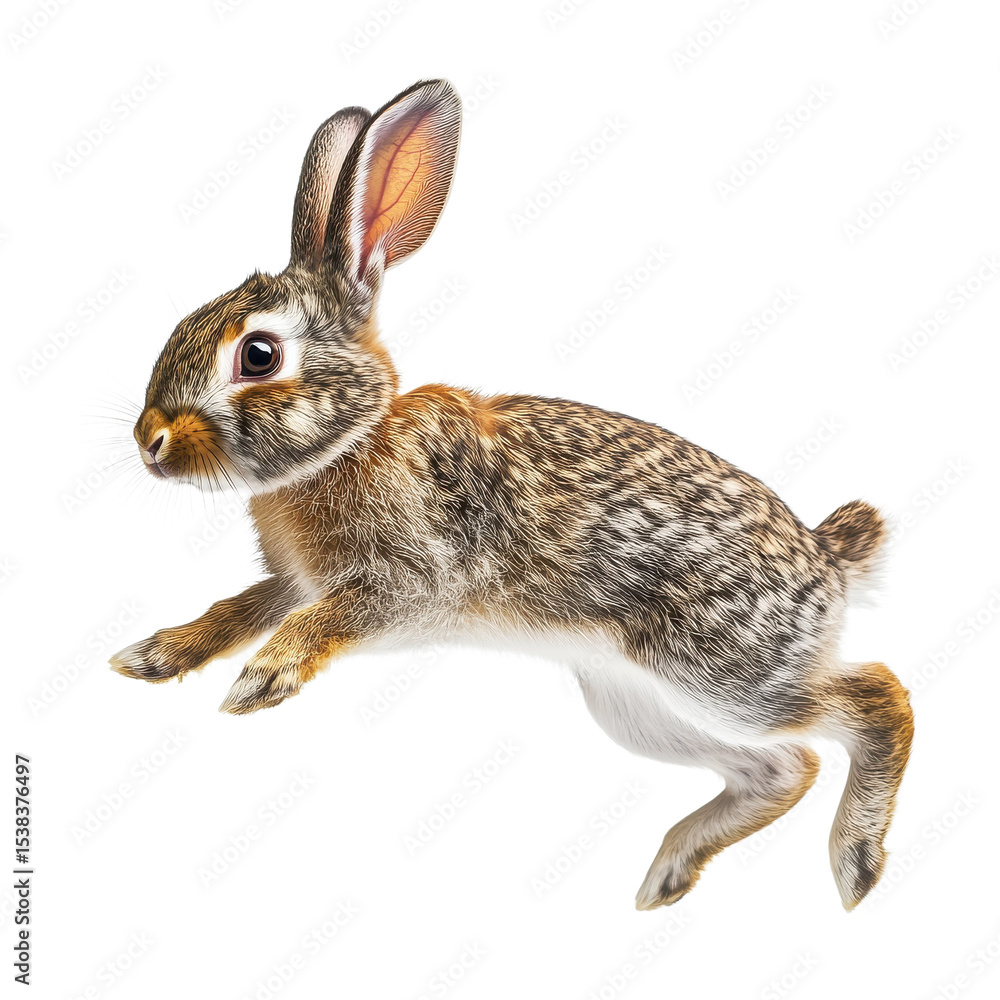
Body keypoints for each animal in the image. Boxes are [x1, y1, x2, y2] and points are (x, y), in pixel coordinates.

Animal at [110, 79, 914, 911]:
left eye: (260, 355)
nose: (148, 439)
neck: (353, 440)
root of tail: (829, 558)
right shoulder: (295, 580)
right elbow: (238, 609)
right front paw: (157, 655)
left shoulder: (408, 581)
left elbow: (326, 617)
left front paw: (264, 677)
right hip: (634, 704)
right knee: (784, 768)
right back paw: (669, 872)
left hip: (726, 671)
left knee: (875, 699)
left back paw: (855, 862)